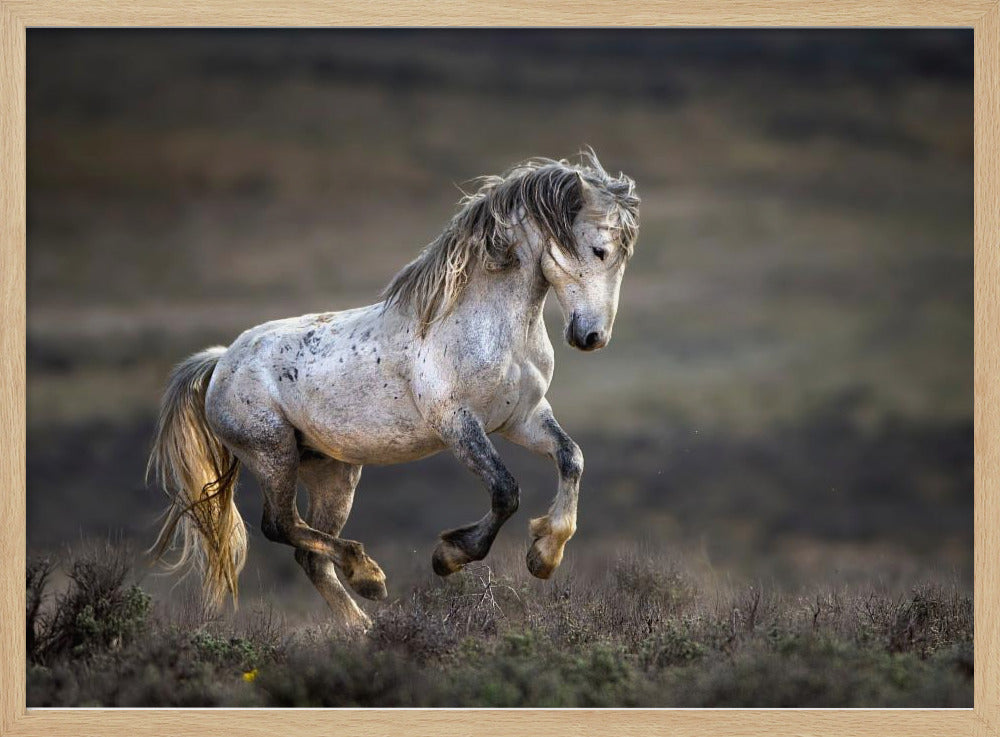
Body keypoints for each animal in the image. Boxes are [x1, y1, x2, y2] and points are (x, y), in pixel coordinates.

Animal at [147, 151, 640, 630]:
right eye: (599, 249)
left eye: (622, 258)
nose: (592, 336)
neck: (490, 326)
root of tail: (220, 362)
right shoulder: (458, 425)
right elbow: (505, 491)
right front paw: (450, 556)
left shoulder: (522, 417)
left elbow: (571, 459)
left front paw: (544, 556)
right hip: (273, 454)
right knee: (280, 525)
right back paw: (368, 573)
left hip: (332, 471)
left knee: (308, 553)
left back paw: (363, 626)